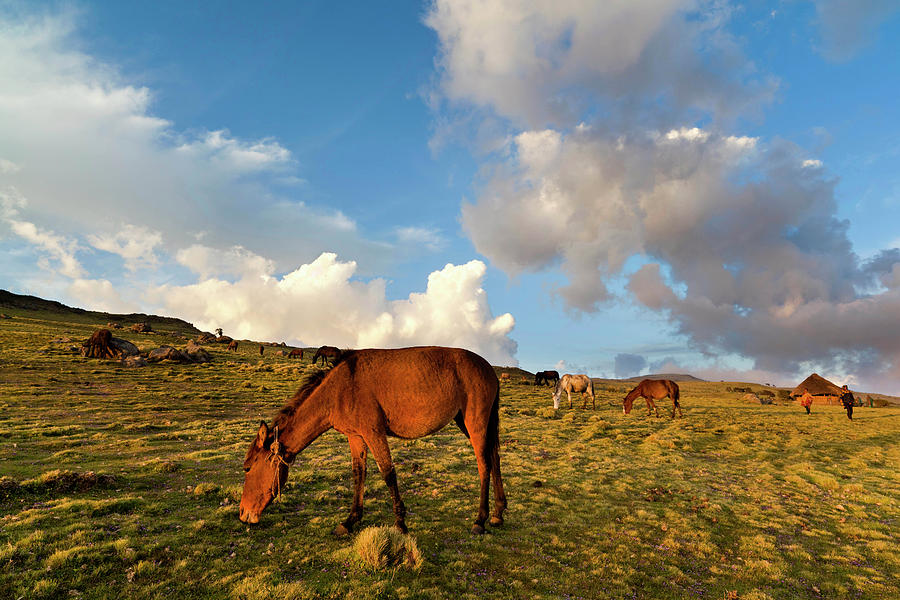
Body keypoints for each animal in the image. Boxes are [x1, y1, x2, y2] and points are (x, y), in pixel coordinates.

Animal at [239, 346, 506, 536]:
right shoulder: (356, 436)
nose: (243, 513)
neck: (341, 388)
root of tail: (489, 369)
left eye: (248, 468)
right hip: (470, 423)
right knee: (494, 458)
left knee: (484, 464)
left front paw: (400, 523)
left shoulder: (374, 433)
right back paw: (498, 514)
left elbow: (388, 473)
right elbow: (359, 474)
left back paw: (480, 520)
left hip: (475, 423)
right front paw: (349, 521)